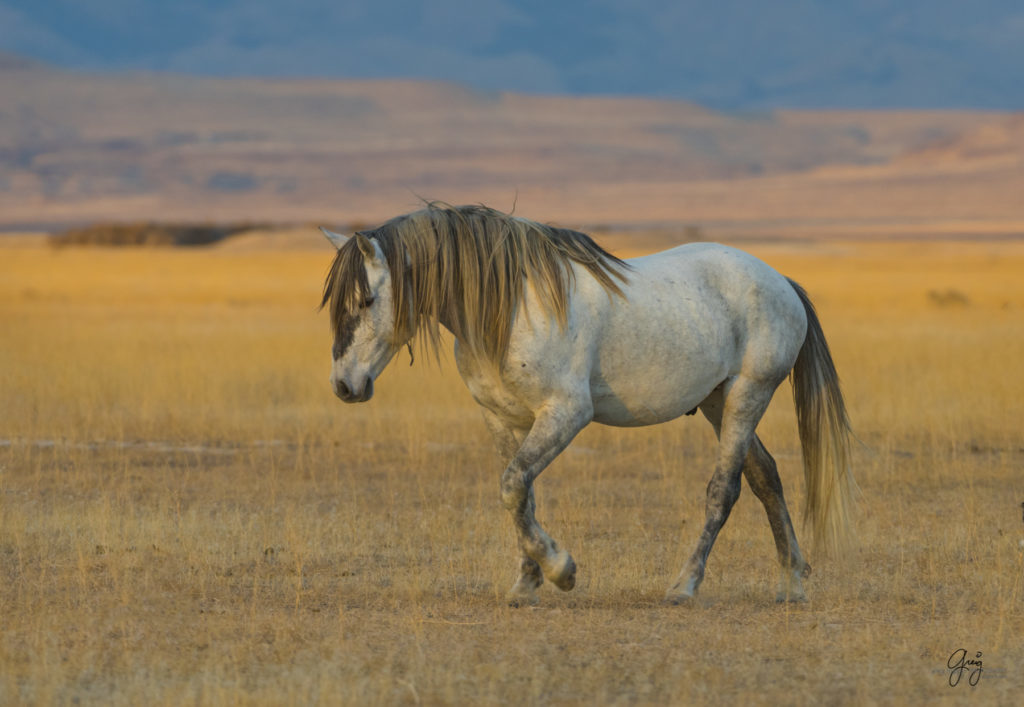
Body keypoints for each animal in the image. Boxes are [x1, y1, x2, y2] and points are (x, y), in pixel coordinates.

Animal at [319, 200, 856, 602]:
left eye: (366, 299)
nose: (344, 386)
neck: (512, 309)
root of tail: (782, 281)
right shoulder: (502, 420)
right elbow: (519, 493)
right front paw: (527, 583)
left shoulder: (567, 414)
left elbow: (513, 485)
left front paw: (562, 571)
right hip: (716, 401)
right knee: (767, 477)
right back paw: (792, 582)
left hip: (748, 393)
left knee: (724, 490)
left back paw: (685, 585)